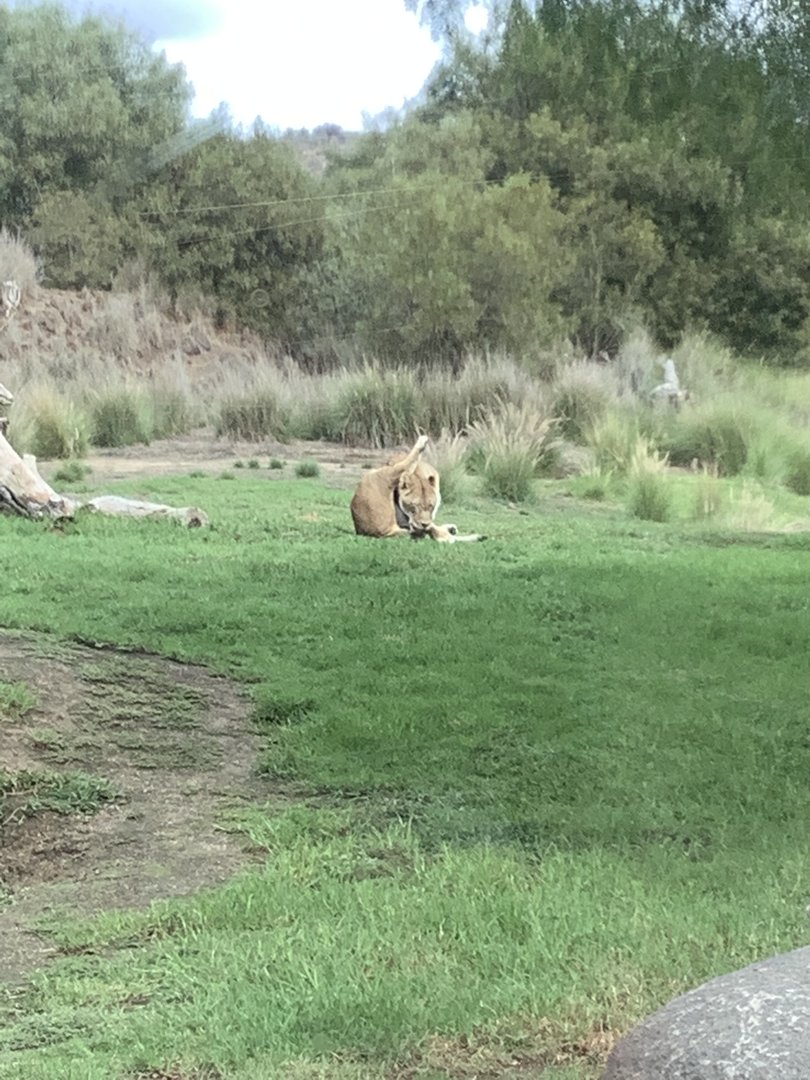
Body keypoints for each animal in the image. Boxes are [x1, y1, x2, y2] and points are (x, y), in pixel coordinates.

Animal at [350, 434, 485, 543]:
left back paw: (451, 529)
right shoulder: (391, 474)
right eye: (414, 506)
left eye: (431, 506)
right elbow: (409, 461)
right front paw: (422, 441)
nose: (424, 524)